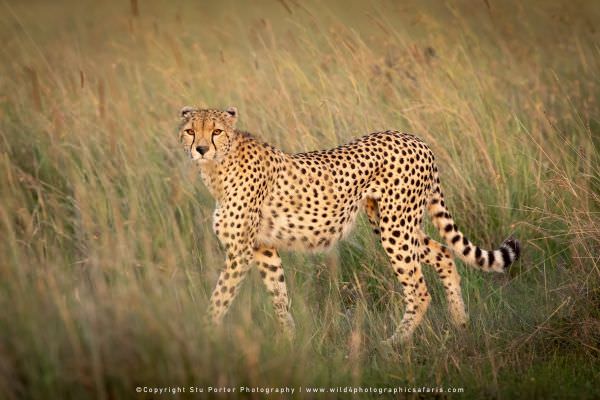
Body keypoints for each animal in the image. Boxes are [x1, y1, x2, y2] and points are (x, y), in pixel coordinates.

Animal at [178, 105, 520, 344]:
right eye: (190, 131)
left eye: (216, 131)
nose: (201, 149)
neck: (218, 167)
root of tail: (415, 138)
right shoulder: (264, 248)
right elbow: (279, 297)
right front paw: (290, 340)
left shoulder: (240, 251)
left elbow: (220, 298)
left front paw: (204, 335)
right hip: (393, 223)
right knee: (444, 254)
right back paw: (461, 323)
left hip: (396, 228)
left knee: (419, 290)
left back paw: (395, 342)